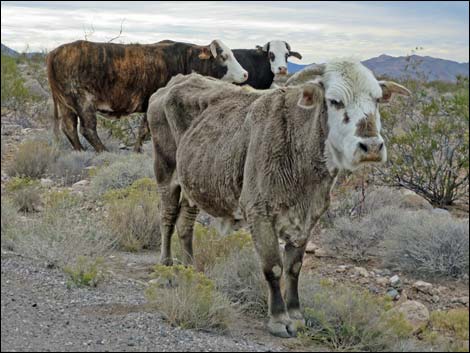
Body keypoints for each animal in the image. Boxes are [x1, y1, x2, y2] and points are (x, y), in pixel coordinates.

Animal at [46, 39, 248, 152]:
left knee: (69, 128)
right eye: (224, 57)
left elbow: (143, 129)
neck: (185, 59)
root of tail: (54, 52)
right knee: (87, 129)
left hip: (67, 105)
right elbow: (147, 129)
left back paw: (80, 150)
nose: (245, 74)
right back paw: (103, 151)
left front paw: (137, 150)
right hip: (83, 101)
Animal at [149, 59, 410, 336]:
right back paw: (166, 267)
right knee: (167, 219)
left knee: (185, 226)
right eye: (335, 101)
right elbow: (273, 267)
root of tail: (170, 85)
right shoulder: (259, 212)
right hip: (166, 174)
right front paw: (278, 318)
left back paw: (189, 269)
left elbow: (294, 267)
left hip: (193, 187)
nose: (371, 147)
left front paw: (295, 313)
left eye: (377, 100)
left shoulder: (308, 218)